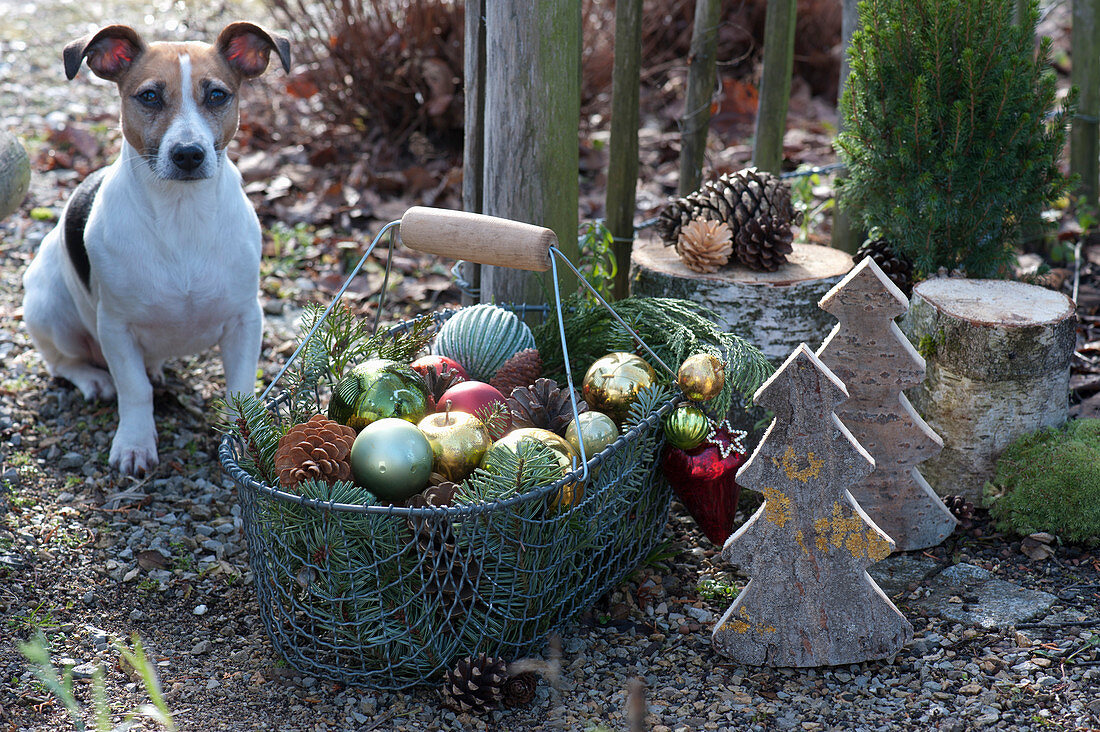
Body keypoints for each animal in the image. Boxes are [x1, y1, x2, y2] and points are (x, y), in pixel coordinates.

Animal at [22, 21, 288, 473]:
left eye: (217, 95)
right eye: (149, 96)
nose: (188, 154)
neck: (181, 214)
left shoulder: (245, 320)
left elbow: (240, 391)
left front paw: (248, 443)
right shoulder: (115, 328)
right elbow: (134, 389)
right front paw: (134, 443)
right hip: (50, 309)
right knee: (63, 362)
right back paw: (94, 379)